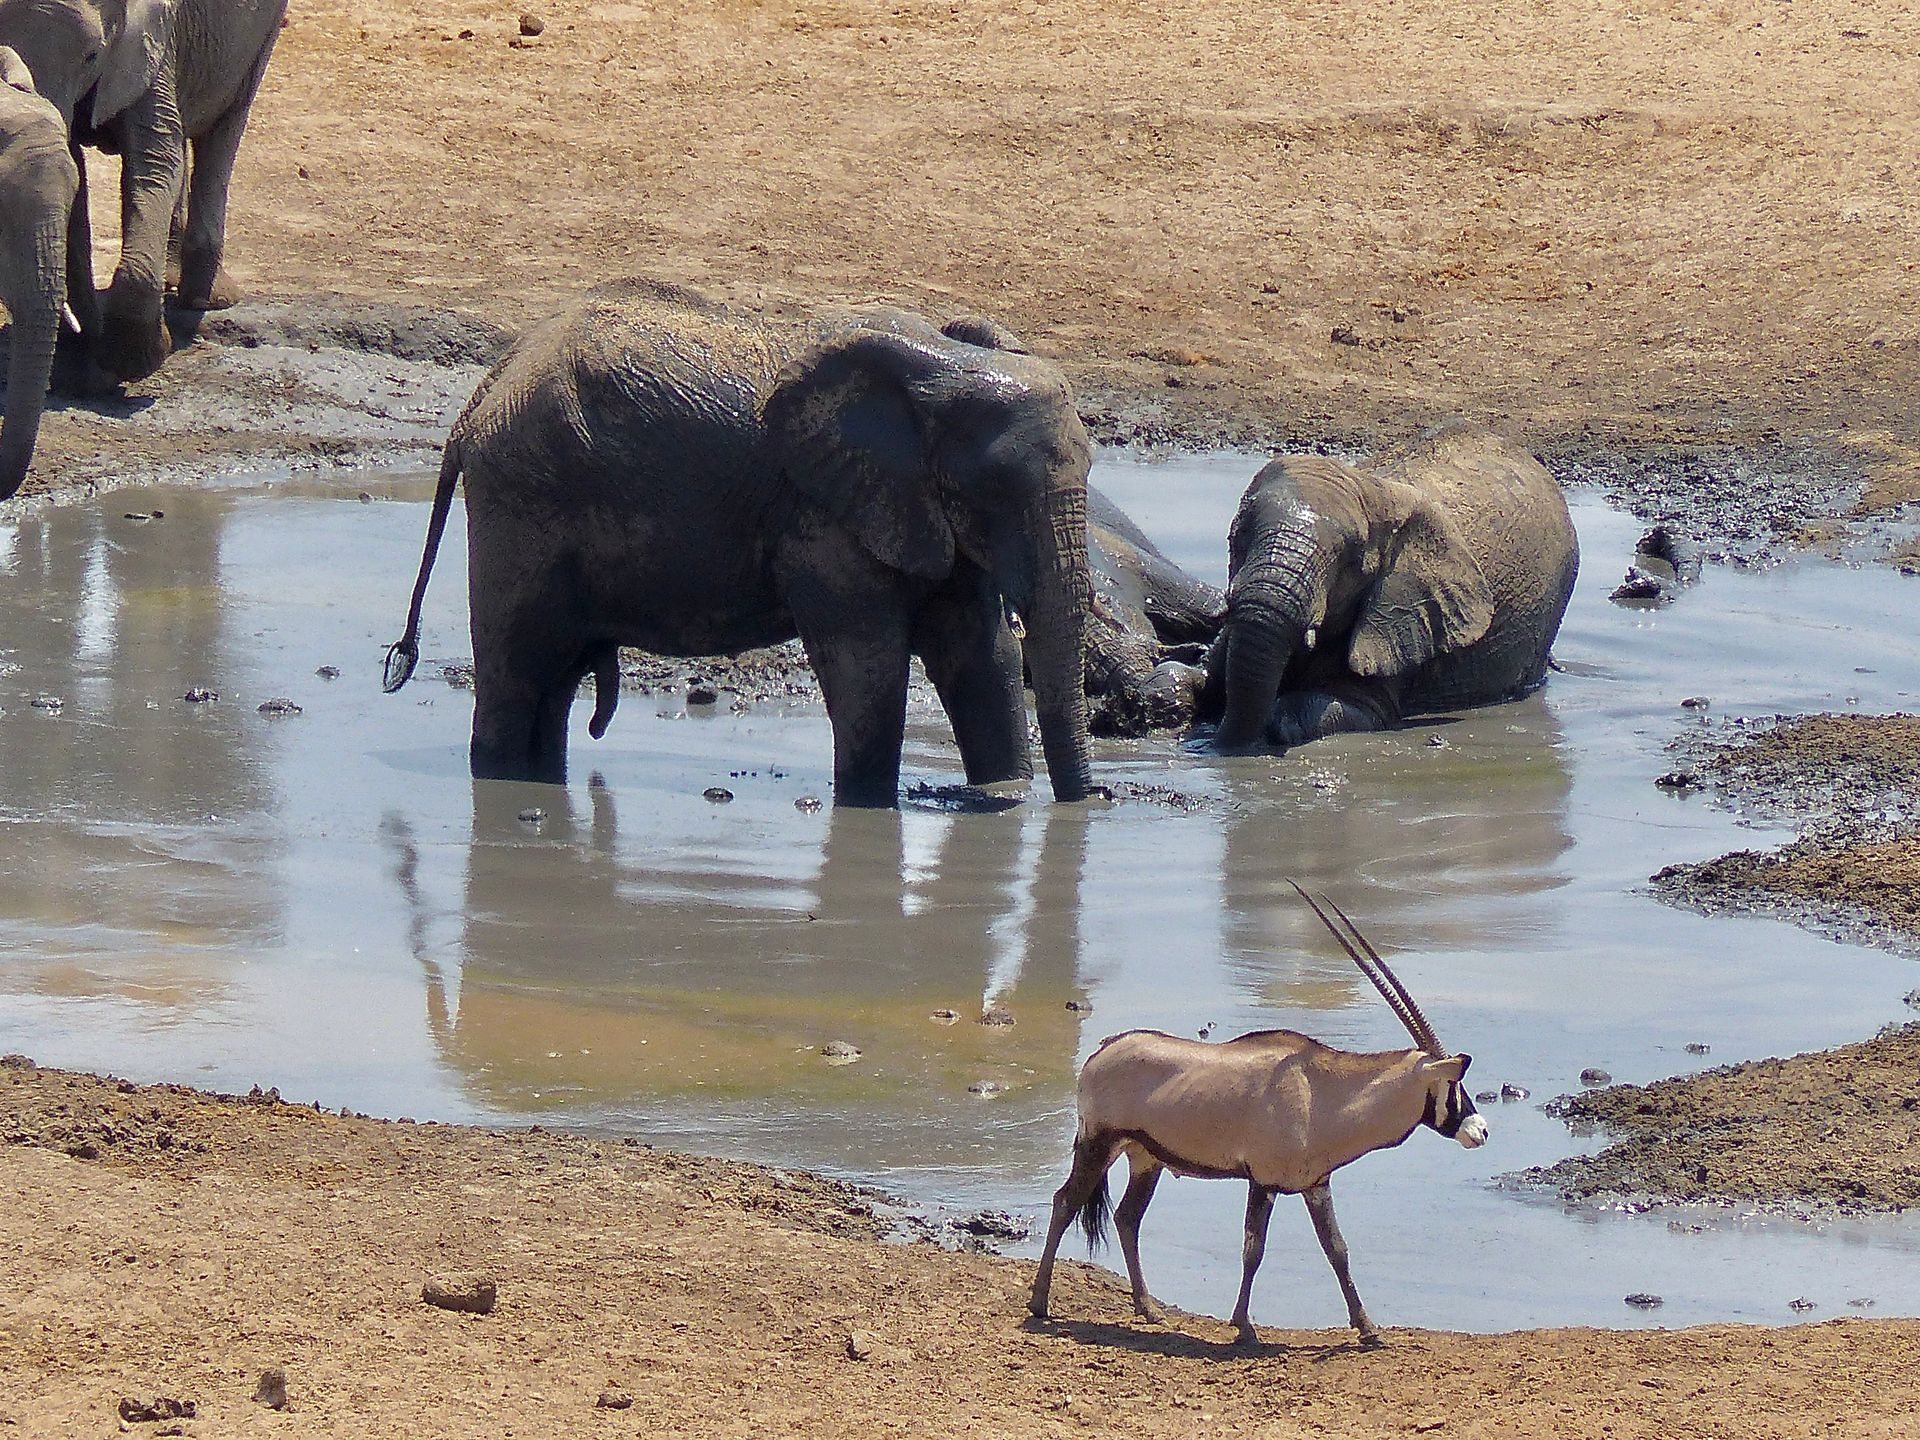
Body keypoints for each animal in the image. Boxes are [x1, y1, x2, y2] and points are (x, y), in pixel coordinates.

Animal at [0, 0, 287, 385]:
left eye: (92, 56)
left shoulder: (146, 42)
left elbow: (154, 161)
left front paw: (132, 360)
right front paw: (86, 359)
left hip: (264, 32)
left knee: (225, 127)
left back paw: (206, 299)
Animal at [384, 279, 1097, 809]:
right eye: (997, 487)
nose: (1089, 803)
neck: (945, 370)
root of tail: (478, 399)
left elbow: (982, 652)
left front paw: (1003, 793)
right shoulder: (821, 513)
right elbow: (865, 665)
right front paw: (871, 808)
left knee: (550, 685)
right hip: (520, 502)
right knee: (515, 674)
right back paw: (505, 784)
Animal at [1202, 419, 1578, 750]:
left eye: (1351, 561)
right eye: (1238, 534)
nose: (1219, 746)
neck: (1372, 488)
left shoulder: (1402, 620)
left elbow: (1351, 709)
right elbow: (1202, 678)